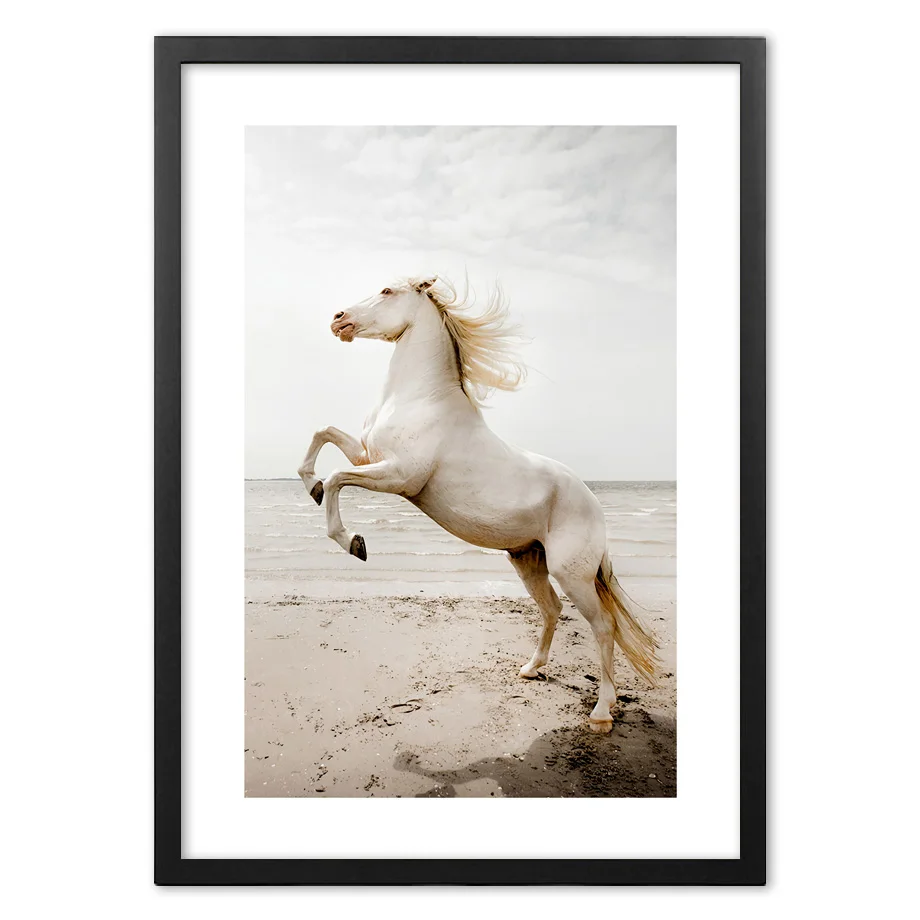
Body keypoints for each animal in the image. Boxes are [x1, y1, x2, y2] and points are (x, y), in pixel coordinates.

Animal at [297, 276, 658, 733]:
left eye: (387, 291)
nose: (338, 320)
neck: (421, 398)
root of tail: (593, 503)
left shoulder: (399, 476)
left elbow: (336, 479)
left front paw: (353, 542)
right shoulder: (367, 455)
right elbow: (322, 432)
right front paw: (310, 484)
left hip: (571, 573)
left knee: (604, 627)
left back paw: (602, 713)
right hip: (528, 561)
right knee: (553, 609)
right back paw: (531, 669)